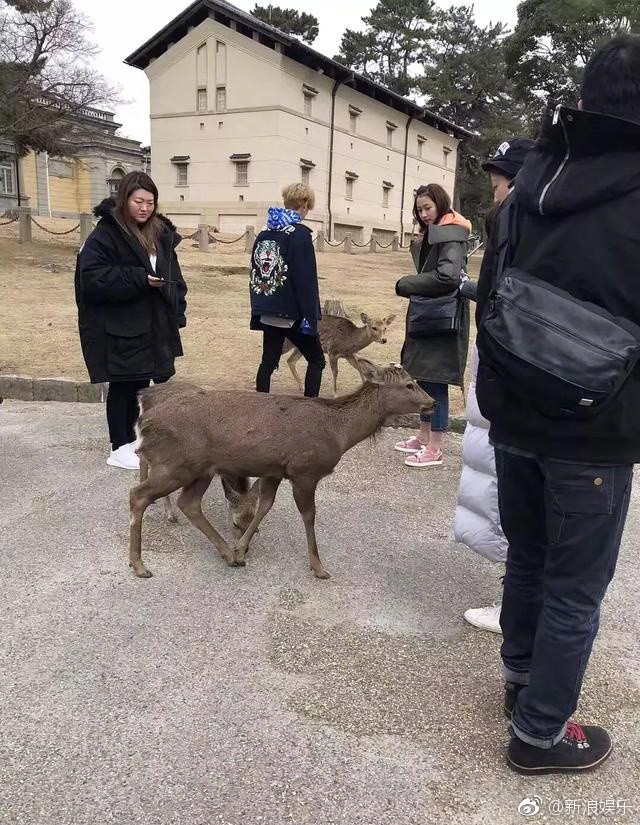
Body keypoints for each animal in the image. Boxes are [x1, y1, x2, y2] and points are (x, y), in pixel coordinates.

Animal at [127, 364, 432, 584]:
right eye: (409, 384)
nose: (431, 402)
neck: (339, 433)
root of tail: (143, 419)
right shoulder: (304, 470)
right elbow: (309, 516)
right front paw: (319, 567)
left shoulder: (274, 470)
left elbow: (264, 506)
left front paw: (241, 549)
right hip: (176, 464)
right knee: (138, 494)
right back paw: (139, 564)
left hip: (200, 469)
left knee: (188, 503)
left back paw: (226, 553)